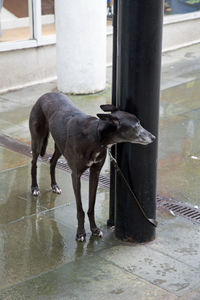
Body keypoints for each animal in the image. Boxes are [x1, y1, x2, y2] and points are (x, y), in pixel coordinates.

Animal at [29, 93, 155, 241]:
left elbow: (91, 205)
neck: (96, 136)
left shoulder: (95, 173)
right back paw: (34, 188)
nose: (154, 137)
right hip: (37, 140)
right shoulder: (76, 175)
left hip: (59, 145)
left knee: (52, 162)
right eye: (137, 125)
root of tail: (45, 95)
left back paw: (54, 185)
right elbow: (80, 209)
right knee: (33, 163)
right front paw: (80, 233)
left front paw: (94, 229)